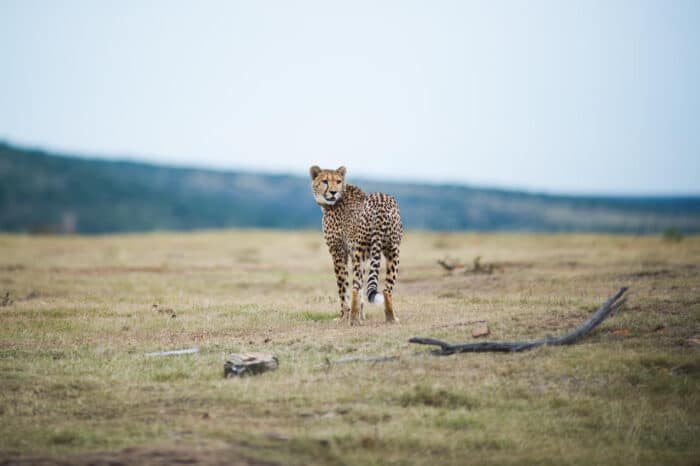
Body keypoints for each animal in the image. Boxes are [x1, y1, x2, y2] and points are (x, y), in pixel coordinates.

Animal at [308, 165, 402, 324]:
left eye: (338, 181)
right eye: (325, 181)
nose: (333, 192)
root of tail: (381, 199)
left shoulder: (339, 252)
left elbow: (343, 287)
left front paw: (344, 316)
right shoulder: (359, 255)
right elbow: (363, 290)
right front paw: (360, 316)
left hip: (361, 251)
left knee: (355, 287)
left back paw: (351, 320)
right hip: (392, 250)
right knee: (387, 288)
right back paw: (391, 318)